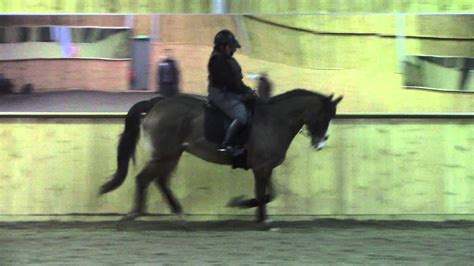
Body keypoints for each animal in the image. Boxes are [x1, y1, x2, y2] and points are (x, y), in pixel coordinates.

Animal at [100, 89, 342, 224]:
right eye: (324, 116)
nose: (321, 144)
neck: (274, 121)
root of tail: (157, 103)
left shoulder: (265, 167)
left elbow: (270, 194)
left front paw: (252, 211)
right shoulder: (261, 167)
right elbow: (264, 194)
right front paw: (252, 213)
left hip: (172, 154)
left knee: (160, 180)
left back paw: (178, 213)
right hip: (164, 154)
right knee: (144, 179)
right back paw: (134, 214)